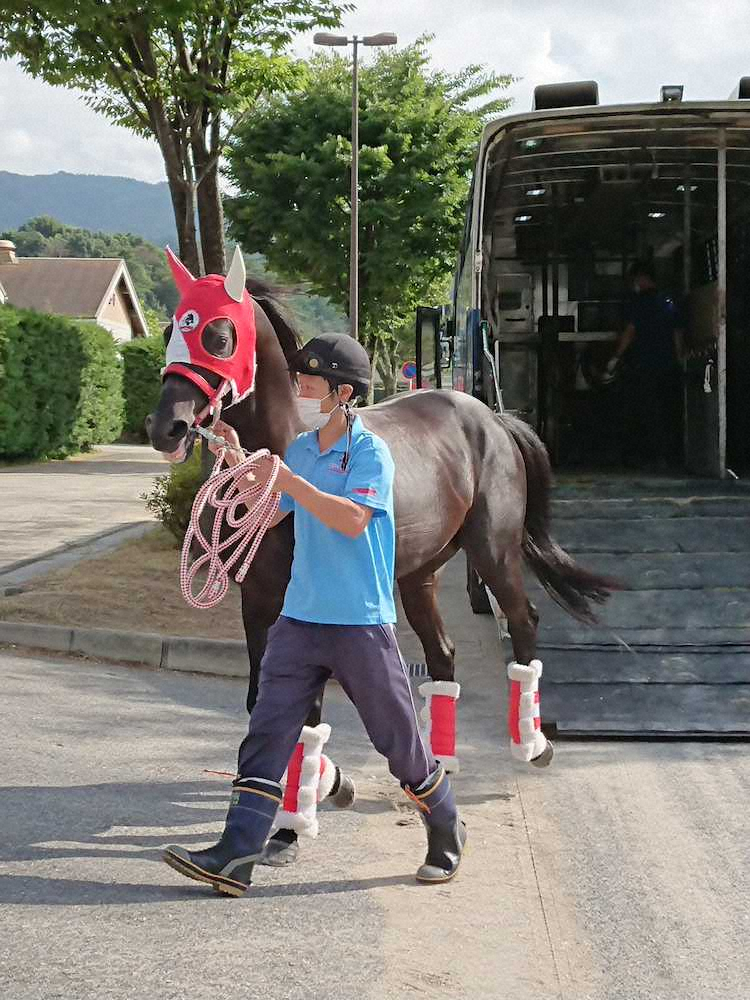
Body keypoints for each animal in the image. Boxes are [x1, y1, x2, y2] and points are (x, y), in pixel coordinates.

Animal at [148, 278, 616, 752]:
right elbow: (263, 706)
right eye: (169, 330)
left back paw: (530, 742)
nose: (165, 426)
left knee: (522, 622)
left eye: (219, 338)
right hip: (419, 573)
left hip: (494, 553)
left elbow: (306, 715)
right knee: (442, 654)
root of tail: (494, 420)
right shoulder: (258, 602)